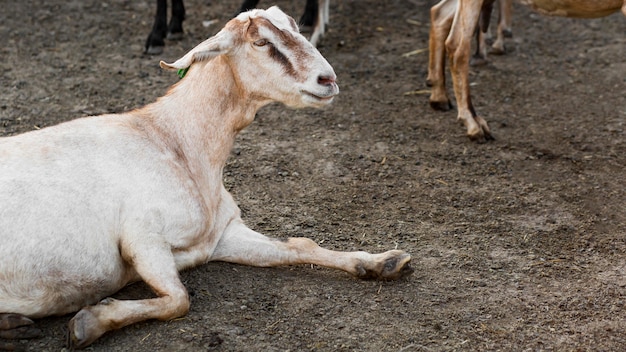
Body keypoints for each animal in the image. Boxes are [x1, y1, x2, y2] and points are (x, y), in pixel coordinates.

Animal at [0, 6, 412, 350]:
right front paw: (88, 323)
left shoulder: (219, 236)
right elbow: (178, 300)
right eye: (261, 42)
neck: (173, 141)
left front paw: (383, 261)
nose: (328, 79)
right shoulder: (141, 236)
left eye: (297, 27)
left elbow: (301, 245)